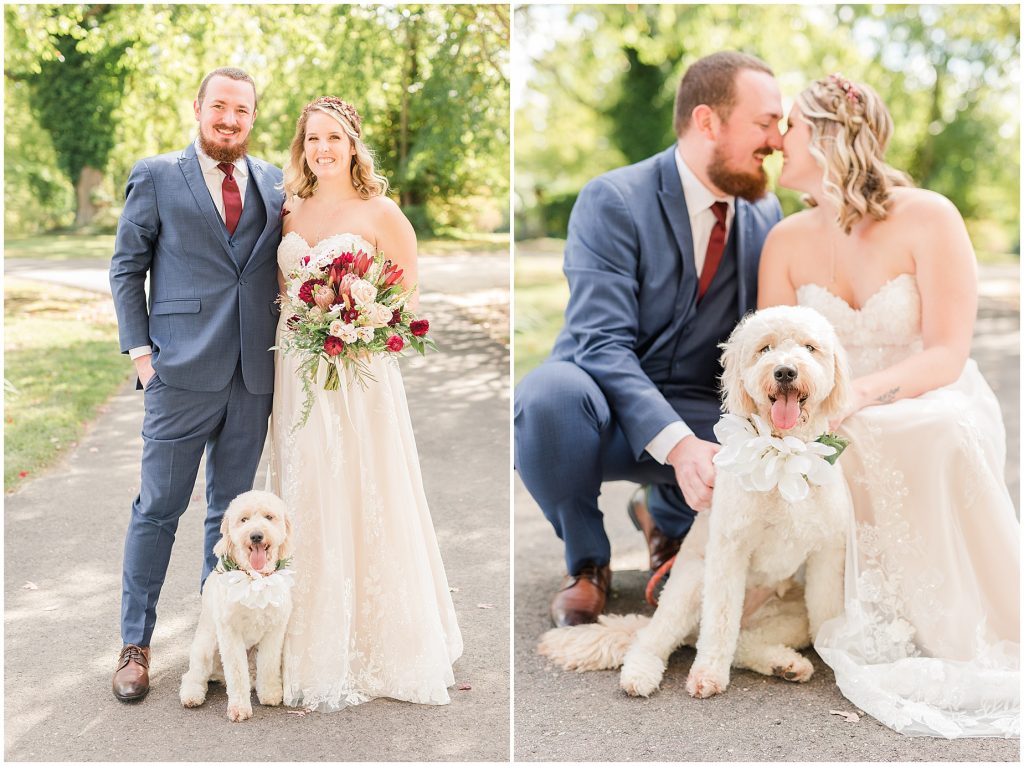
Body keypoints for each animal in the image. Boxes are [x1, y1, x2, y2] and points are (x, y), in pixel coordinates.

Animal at [178, 493, 292, 720]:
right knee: (194, 674)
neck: (254, 579)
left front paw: (270, 692)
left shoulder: (275, 629)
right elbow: (237, 673)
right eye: (244, 520)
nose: (256, 536)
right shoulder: (230, 633)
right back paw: (192, 694)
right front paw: (239, 707)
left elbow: (269, 663)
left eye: (269, 517)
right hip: (206, 645)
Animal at [540, 305, 851, 700]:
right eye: (764, 349)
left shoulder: (827, 553)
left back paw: (785, 663)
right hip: (690, 583)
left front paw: (834, 654)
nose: (784, 371)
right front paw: (707, 674)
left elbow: (825, 611)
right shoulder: (729, 551)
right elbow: (719, 623)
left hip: (789, 613)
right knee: (658, 638)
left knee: (743, 641)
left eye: (810, 348)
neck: (783, 455)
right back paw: (640, 673)